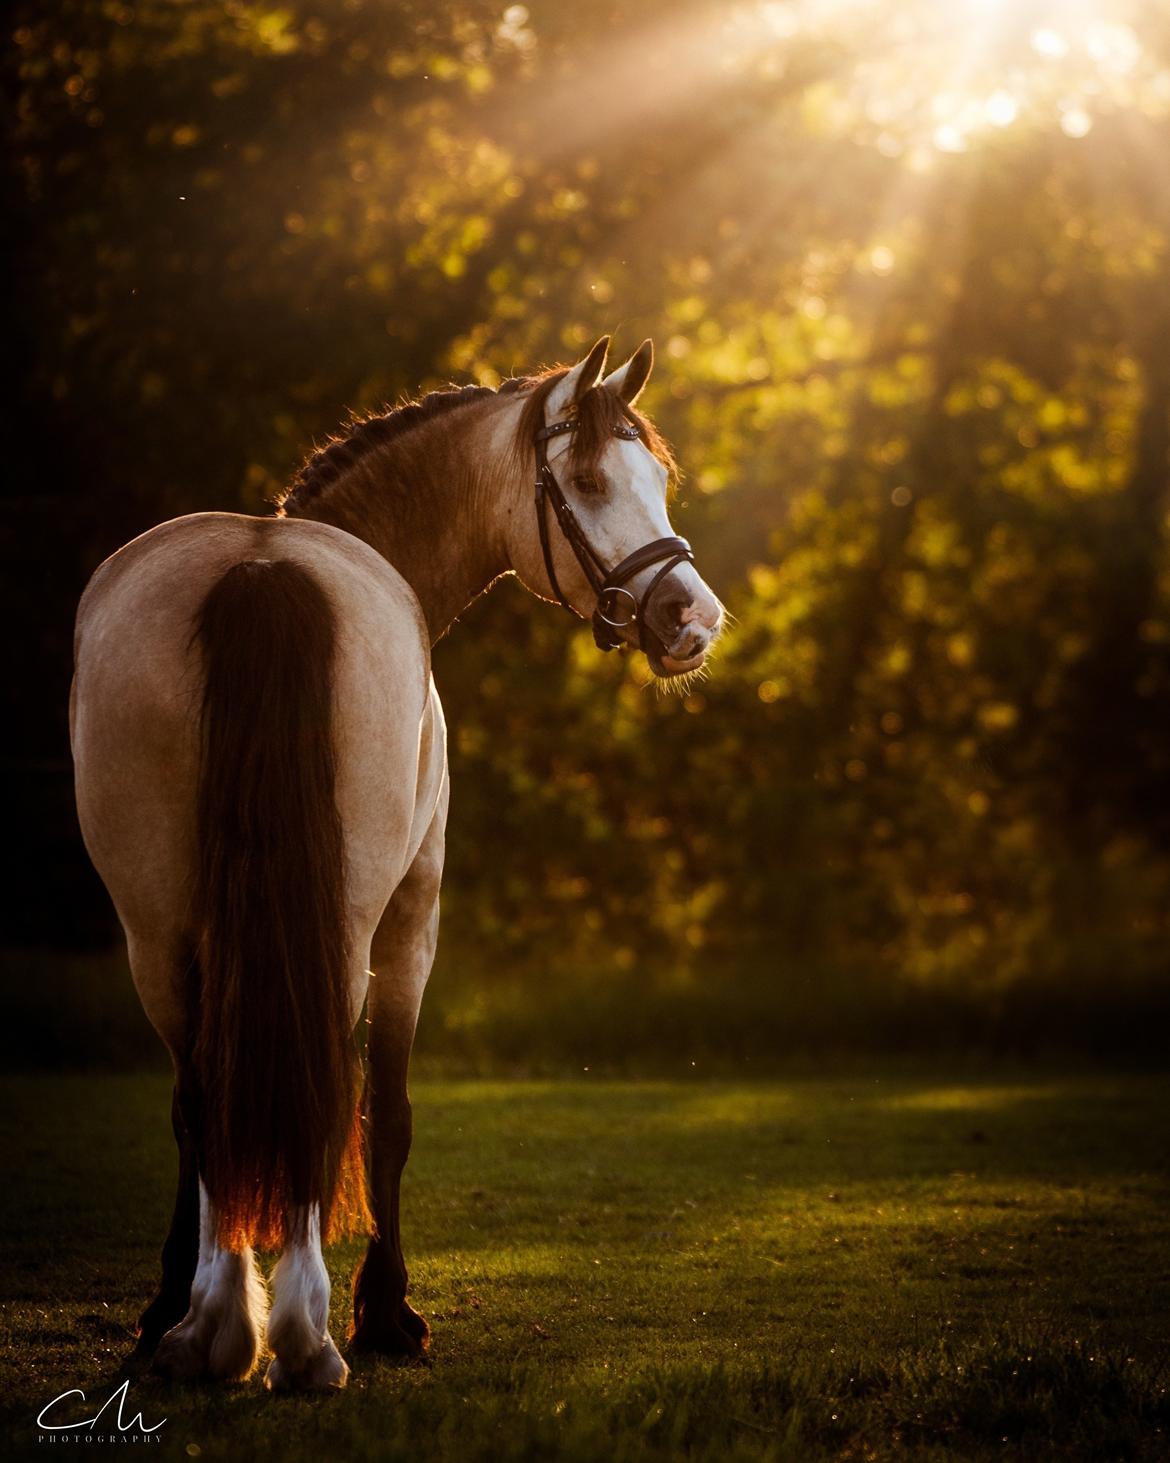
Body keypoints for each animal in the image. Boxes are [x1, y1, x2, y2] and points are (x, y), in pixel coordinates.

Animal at [70, 335, 722, 1392]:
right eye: (587, 480)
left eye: (658, 479)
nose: (693, 618)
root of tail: (261, 571)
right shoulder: (415, 914)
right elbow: (390, 1107)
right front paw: (386, 1309)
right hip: (338, 919)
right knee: (314, 1086)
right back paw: (294, 1331)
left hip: (156, 926)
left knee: (202, 1095)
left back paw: (209, 1323)